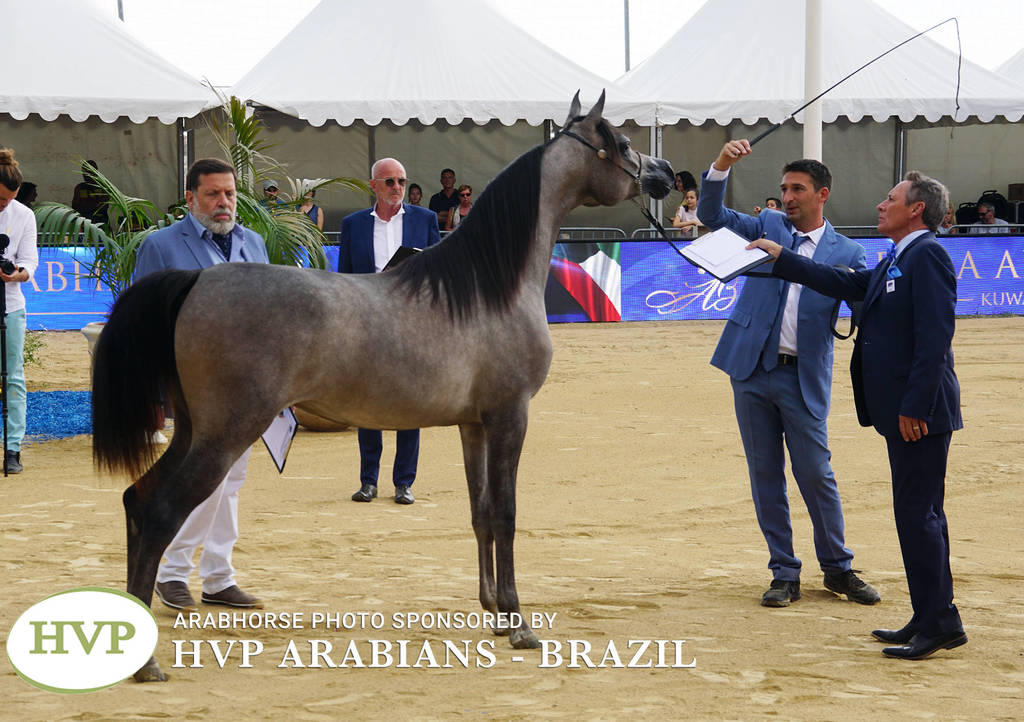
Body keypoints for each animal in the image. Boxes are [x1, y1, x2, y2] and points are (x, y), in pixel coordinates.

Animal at [91, 92, 674, 682]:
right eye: (624, 141)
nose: (666, 173)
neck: (489, 287)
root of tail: (196, 280)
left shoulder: (474, 425)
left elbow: (481, 512)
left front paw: (493, 612)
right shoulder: (511, 416)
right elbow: (507, 515)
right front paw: (519, 624)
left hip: (194, 430)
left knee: (137, 500)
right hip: (224, 434)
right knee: (161, 512)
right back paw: (147, 665)